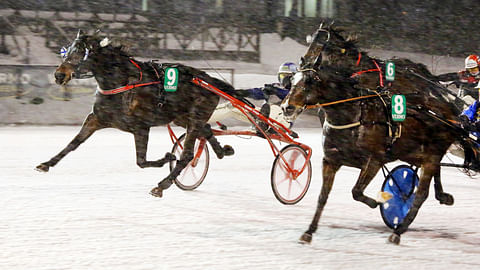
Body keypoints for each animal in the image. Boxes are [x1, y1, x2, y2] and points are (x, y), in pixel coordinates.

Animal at [34, 30, 236, 197]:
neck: (122, 83)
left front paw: (168, 157)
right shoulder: (96, 119)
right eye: (67, 51)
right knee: (207, 130)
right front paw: (46, 164)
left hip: (195, 117)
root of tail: (209, 80)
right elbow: (73, 143)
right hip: (182, 118)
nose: (59, 75)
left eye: (81, 53)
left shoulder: (141, 127)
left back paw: (162, 185)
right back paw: (222, 151)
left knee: (187, 154)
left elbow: (141, 161)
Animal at [282, 59, 468, 245]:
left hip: (431, 156)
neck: (355, 117)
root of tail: (450, 112)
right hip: (415, 154)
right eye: (292, 80)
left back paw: (398, 232)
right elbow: (323, 196)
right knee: (436, 171)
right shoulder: (330, 160)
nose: (286, 107)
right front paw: (309, 231)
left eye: (310, 80)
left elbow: (356, 191)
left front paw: (379, 201)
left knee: (421, 194)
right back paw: (442, 196)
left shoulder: (374, 160)